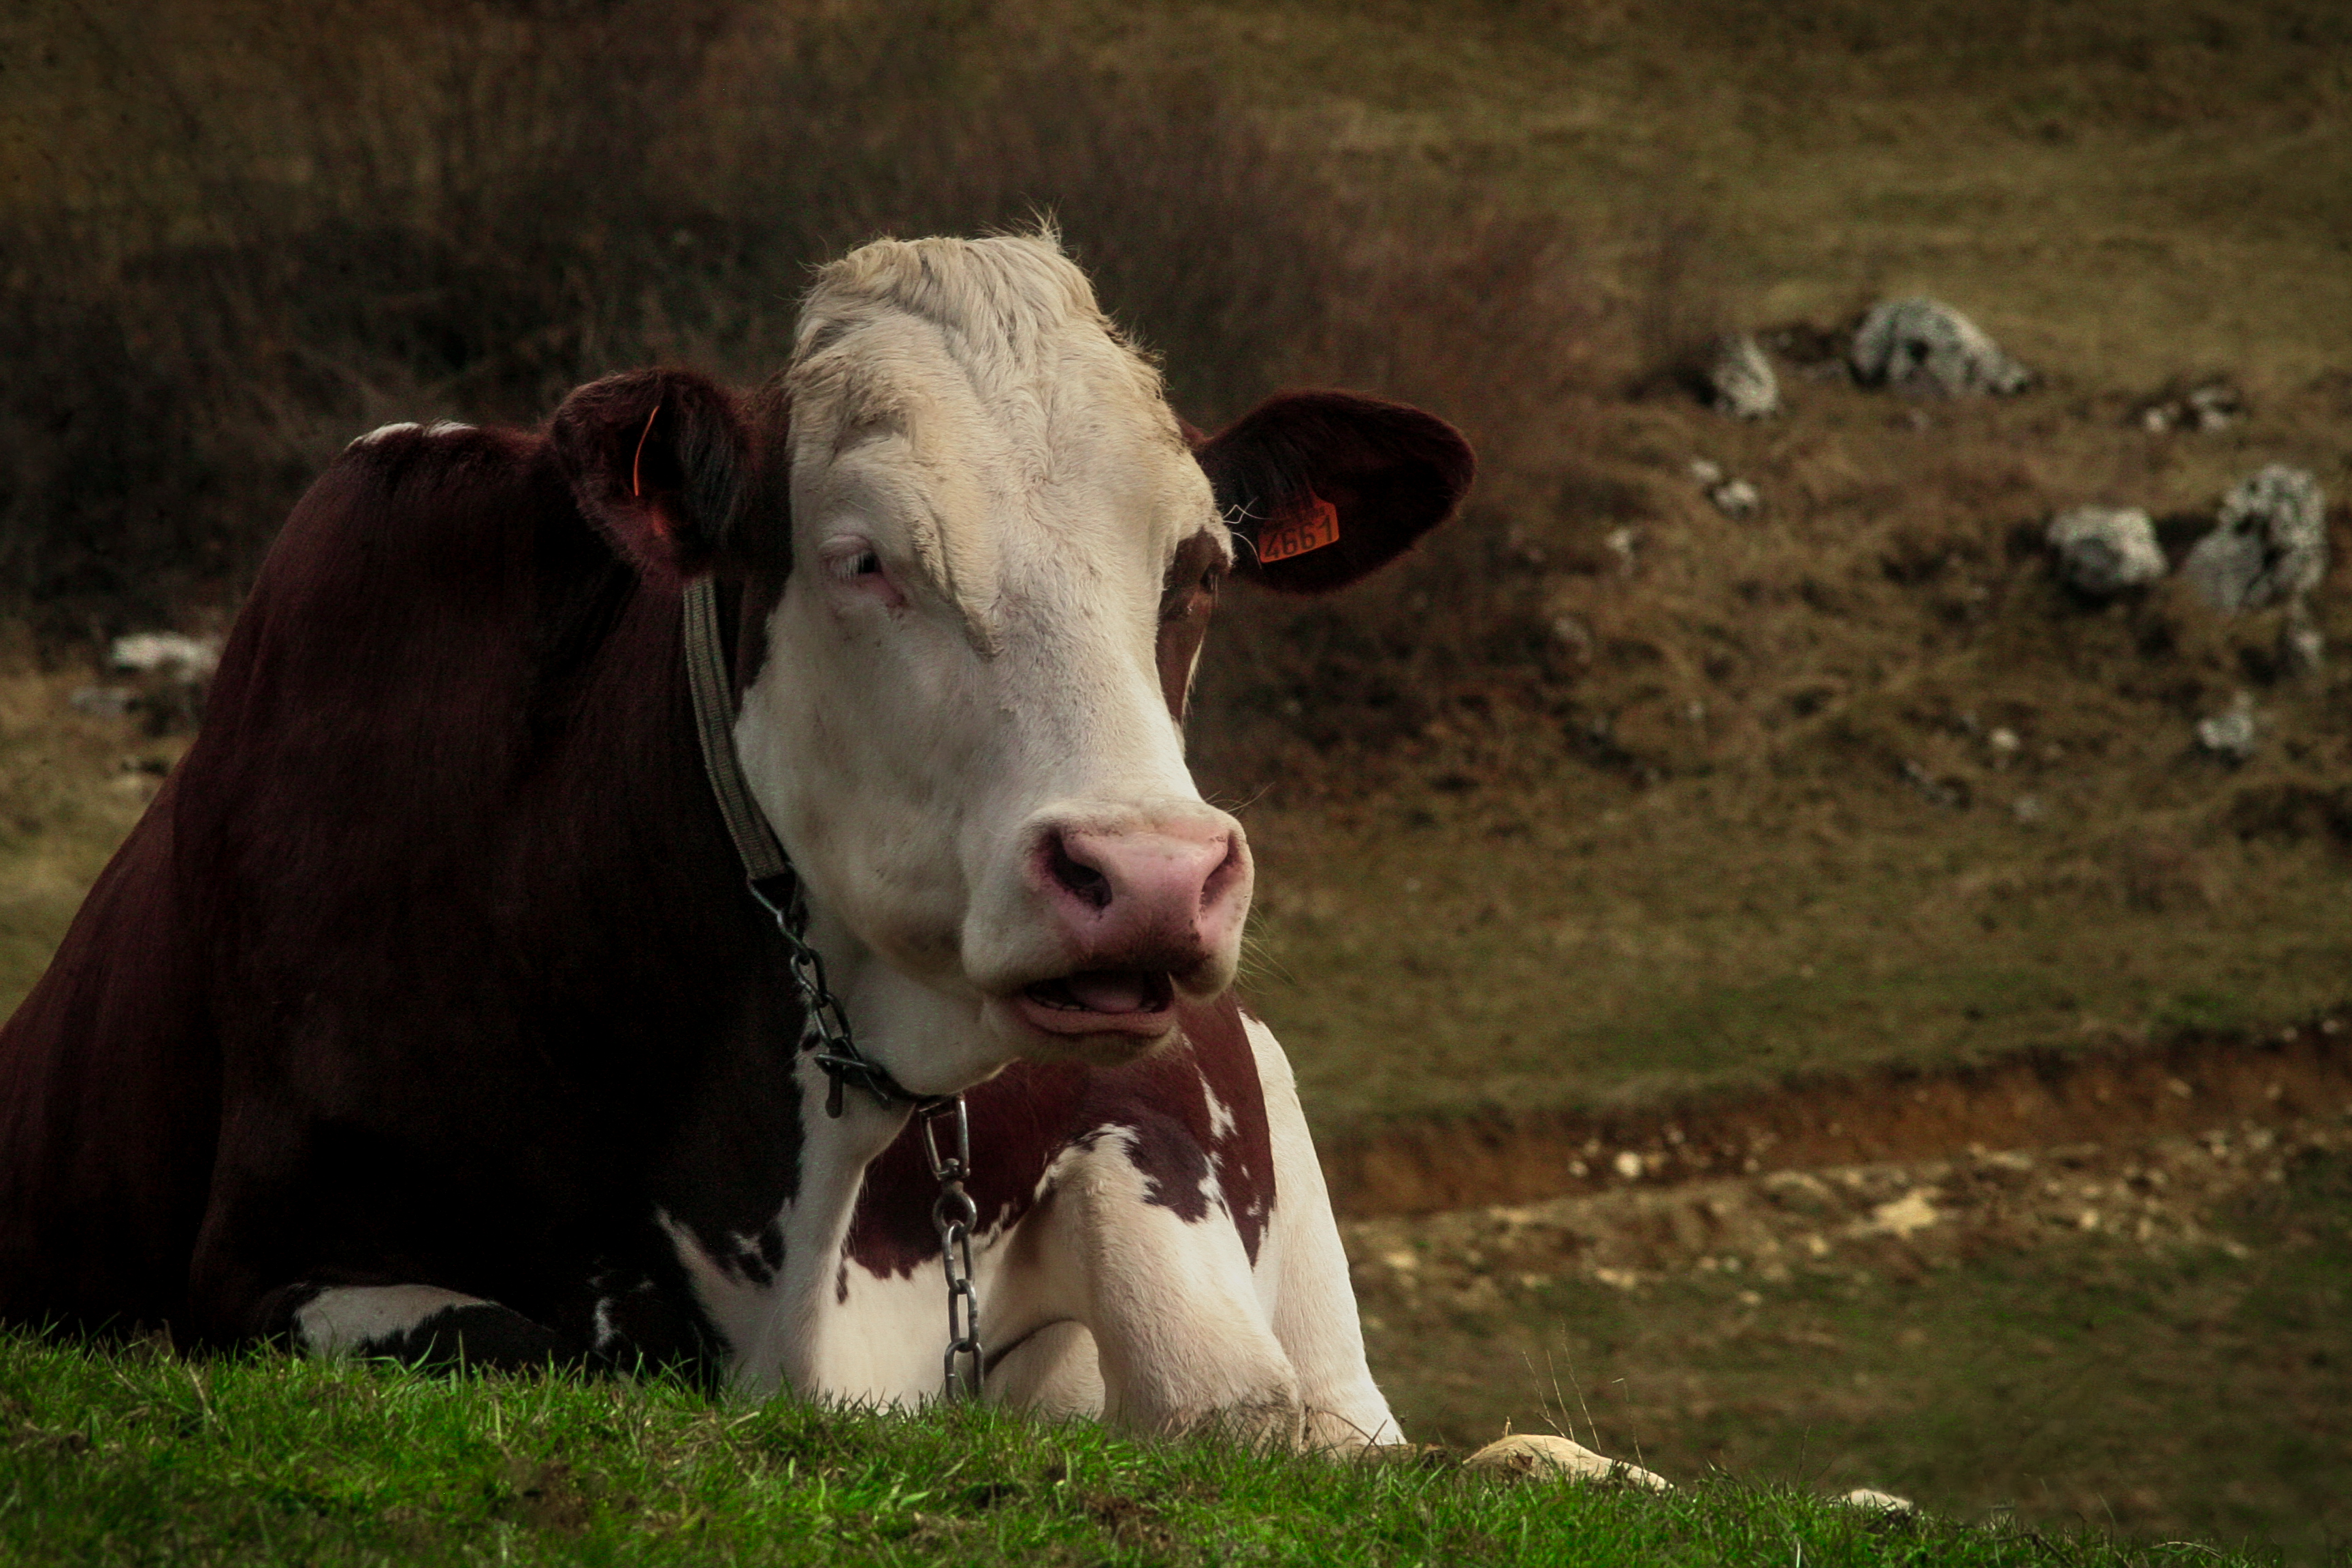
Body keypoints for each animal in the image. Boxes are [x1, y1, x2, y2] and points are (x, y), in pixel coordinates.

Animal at [0, 232, 1471, 1449]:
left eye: (1202, 569)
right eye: (863, 557)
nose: (1151, 878)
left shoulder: (1137, 1111)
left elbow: (1233, 1398)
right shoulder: (270, 1261)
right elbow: (541, 1342)